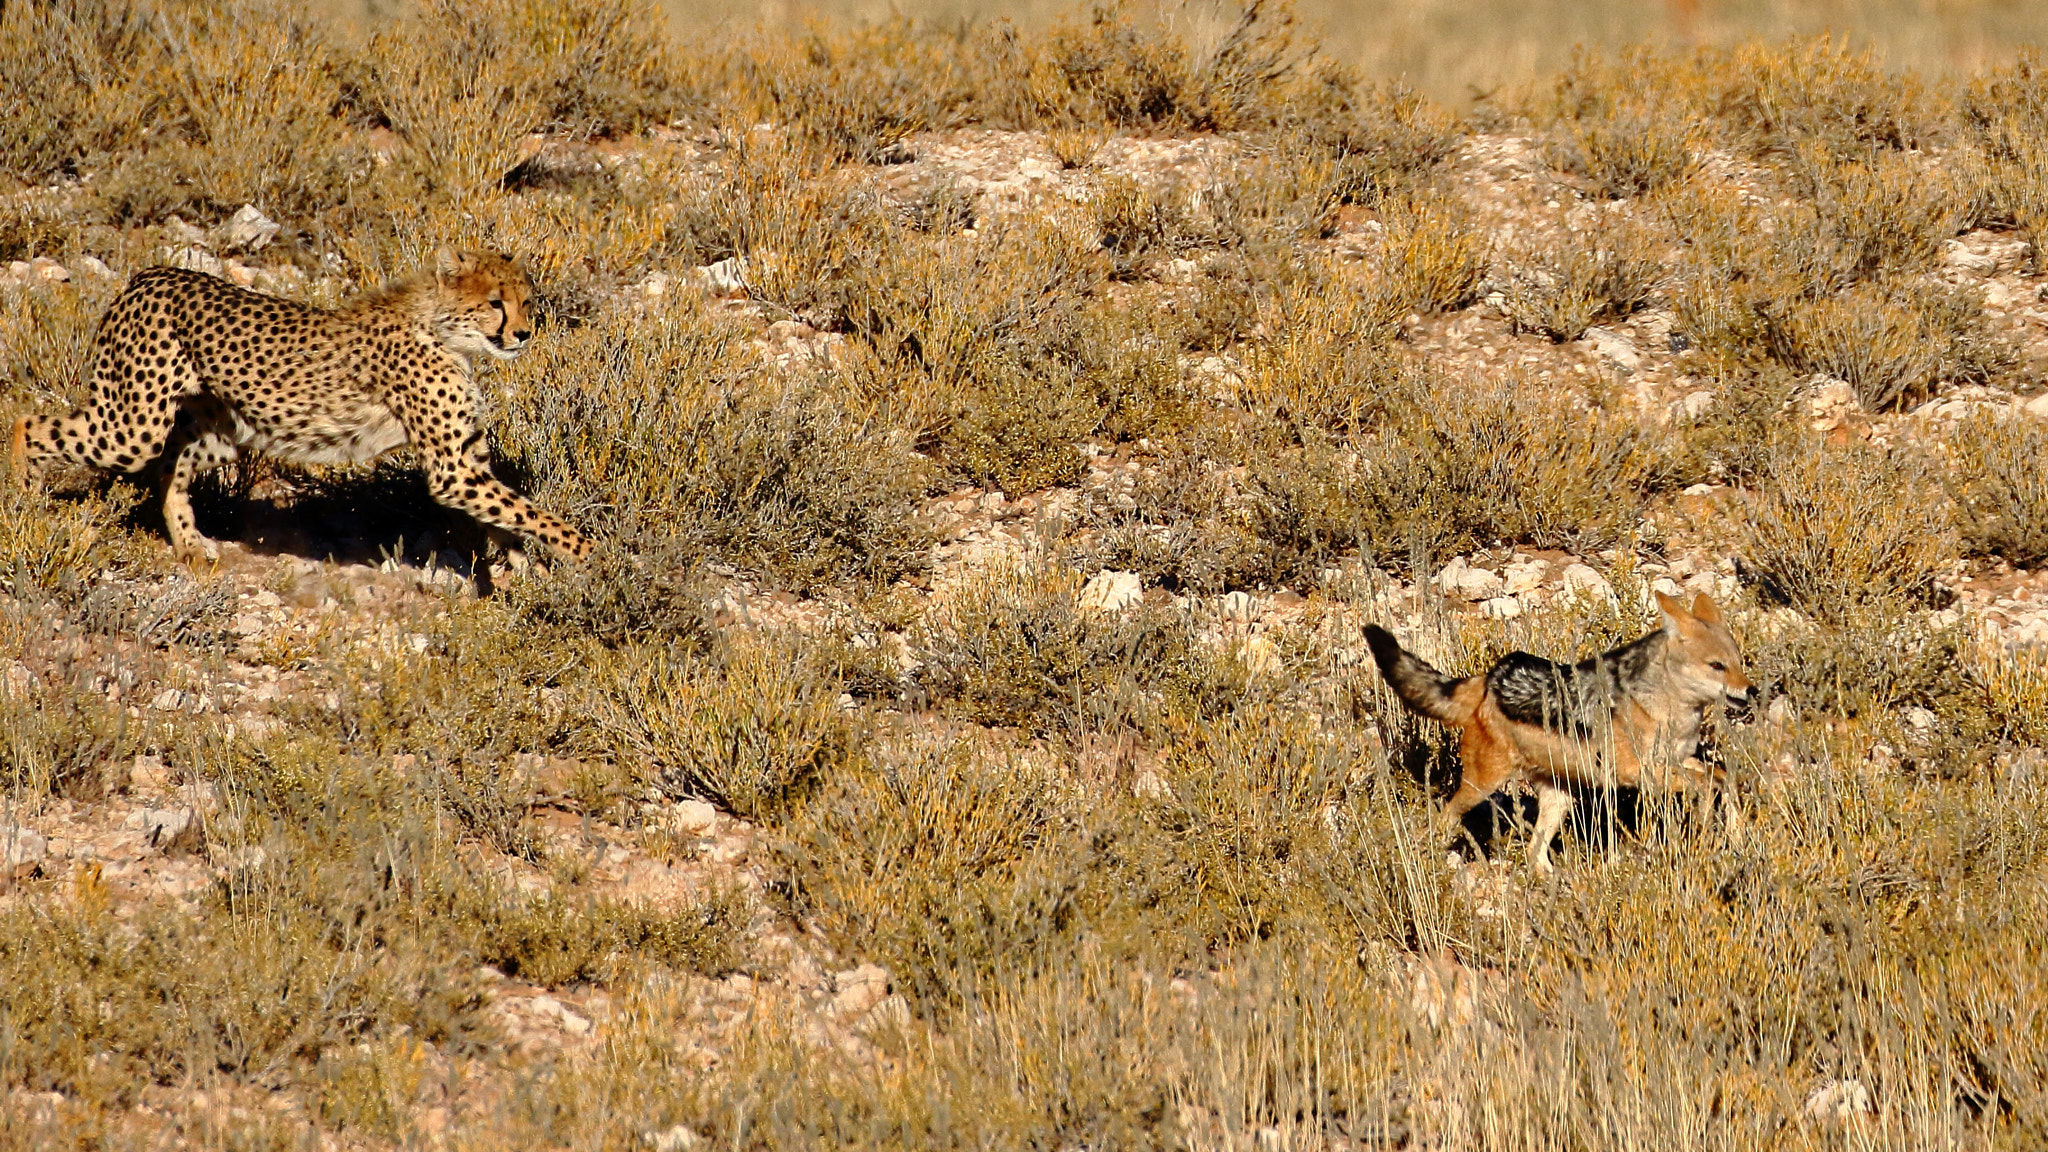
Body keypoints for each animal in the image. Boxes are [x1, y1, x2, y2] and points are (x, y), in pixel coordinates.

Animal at [9, 248, 590, 564]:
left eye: (527, 301)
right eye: (495, 302)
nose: (524, 333)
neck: (445, 330)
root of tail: (153, 273)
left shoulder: (467, 454)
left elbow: (510, 512)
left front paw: (524, 569)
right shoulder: (452, 468)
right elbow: (527, 510)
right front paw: (589, 554)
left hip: (217, 432)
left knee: (169, 468)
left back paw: (191, 545)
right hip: (133, 426)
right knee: (30, 423)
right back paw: (24, 505)